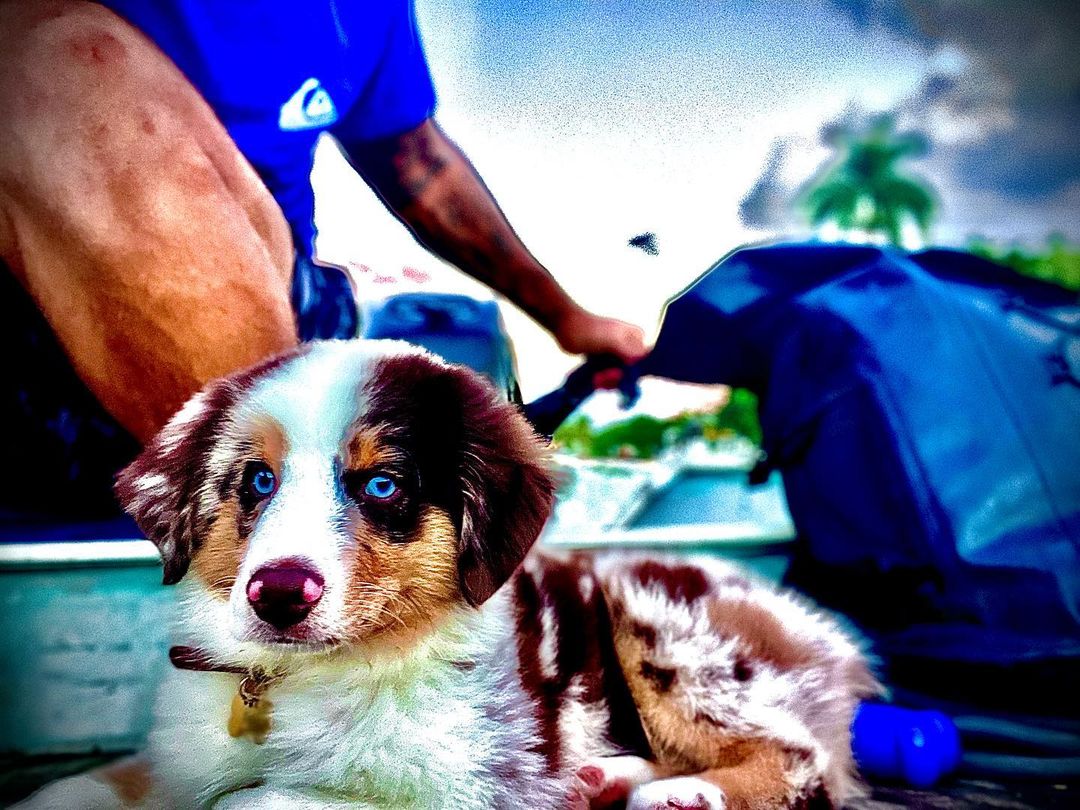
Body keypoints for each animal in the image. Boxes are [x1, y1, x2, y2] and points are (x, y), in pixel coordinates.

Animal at [16, 339, 876, 807]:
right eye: (257, 480)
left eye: (381, 485)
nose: (278, 594)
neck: (299, 681)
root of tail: (822, 631)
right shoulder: (181, 761)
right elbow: (97, 783)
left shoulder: (463, 780)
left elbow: (269, 799)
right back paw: (603, 779)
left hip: (667, 629)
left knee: (802, 759)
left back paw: (681, 793)